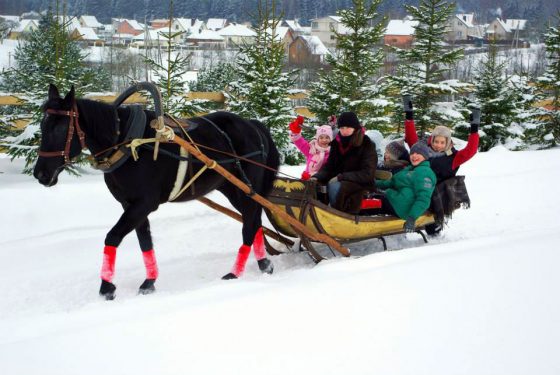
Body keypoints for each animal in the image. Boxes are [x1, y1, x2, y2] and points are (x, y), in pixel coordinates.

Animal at [33, 85, 280, 300]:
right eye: (42, 127)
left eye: (60, 128)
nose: (40, 174)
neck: (129, 143)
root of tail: (252, 124)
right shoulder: (131, 205)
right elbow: (145, 241)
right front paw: (149, 282)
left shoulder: (144, 203)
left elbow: (113, 237)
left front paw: (107, 287)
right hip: (232, 187)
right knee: (254, 220)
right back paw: (263, 263)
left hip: (246, 187)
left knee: (249, 224)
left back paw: (237, 272)